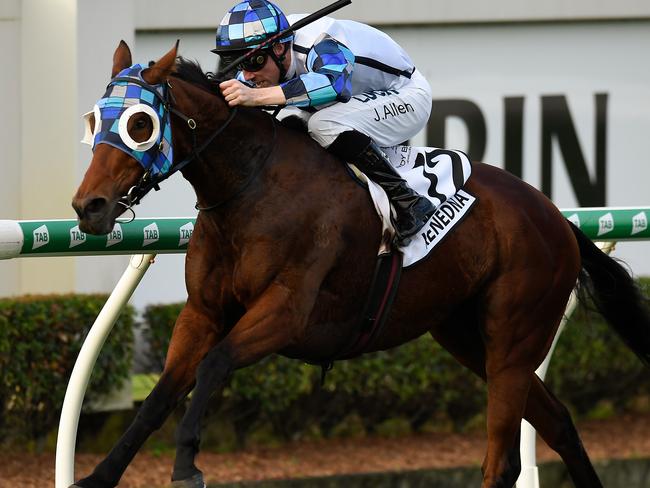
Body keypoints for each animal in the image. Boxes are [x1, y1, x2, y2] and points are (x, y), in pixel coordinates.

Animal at [71, 42, 648, 488]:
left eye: (140, 123)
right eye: (94, 120)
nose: (88, 206)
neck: (252, 185)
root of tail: (556, 216)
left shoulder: (286, 311)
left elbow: (214, 365)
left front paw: (187, 464)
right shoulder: (203, 312)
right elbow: (160, 395)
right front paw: (98, 475)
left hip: (513, 340)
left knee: (501, 462)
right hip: (467, 337)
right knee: (560, 423)